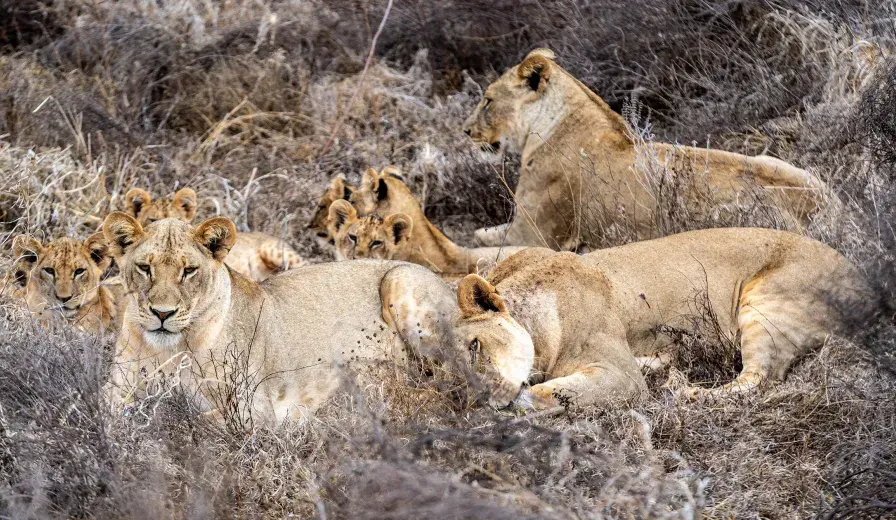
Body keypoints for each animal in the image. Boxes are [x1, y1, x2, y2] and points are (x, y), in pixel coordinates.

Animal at [102, 212, 458, 426]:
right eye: (145, 268)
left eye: (188, 270)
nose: (163, 314)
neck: (168, 351)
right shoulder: (117, 389)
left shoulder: (253, 409)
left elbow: (182, 419)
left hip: (401, 281)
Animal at [451, 228, 876, 409]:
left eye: (476, 346)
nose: (473, 399)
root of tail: (866, 282)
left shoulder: (620, 374)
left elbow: (547, 391)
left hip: (766, 304)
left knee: (757, 380)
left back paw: (681, 389)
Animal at [462, 48, 834, 250]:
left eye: (488, 100)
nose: (465, 131)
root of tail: (823, 209)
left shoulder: (533, 235)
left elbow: (478, 236)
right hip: (777, 161)